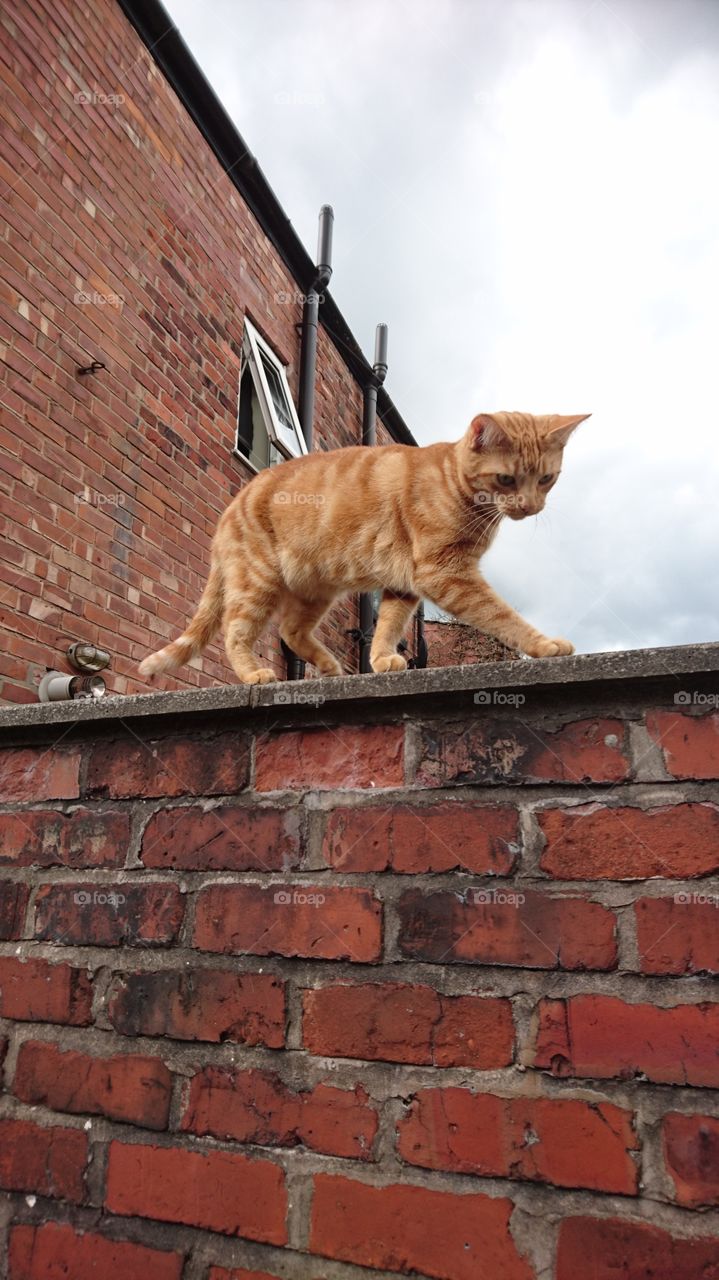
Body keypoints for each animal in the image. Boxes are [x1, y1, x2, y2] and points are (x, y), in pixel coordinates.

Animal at [138, 414, 588, 686]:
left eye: (546, 479)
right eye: (507, 480)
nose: (531, 507)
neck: (455, 483)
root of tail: (232, 505)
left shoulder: (405, 586)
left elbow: (388, 625)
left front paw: (382, 658)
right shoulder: (446, 574)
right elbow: (501, 615)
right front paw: (544, 645)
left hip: (315, 588)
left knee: (291, 629)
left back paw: (330, 667)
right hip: (257, 583)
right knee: (236, 631)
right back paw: (253, 674)